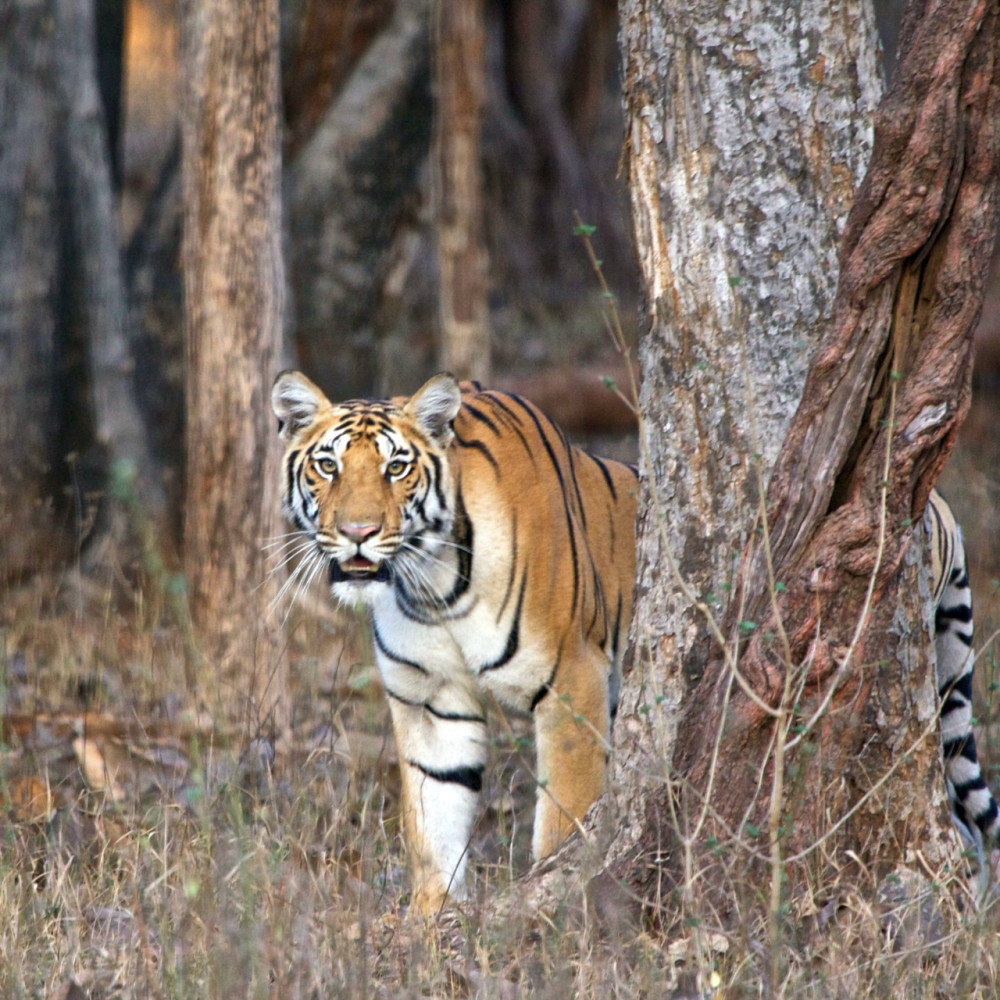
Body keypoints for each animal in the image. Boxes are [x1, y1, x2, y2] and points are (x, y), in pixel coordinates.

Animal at [270, 370, 636, 916]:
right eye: (328, 465)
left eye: (396, 468)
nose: (358, 532)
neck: (433, 585)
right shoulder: (432, 699)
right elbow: (435, 818)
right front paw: (431, 919)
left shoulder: (574, 678)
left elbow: (564, 819)